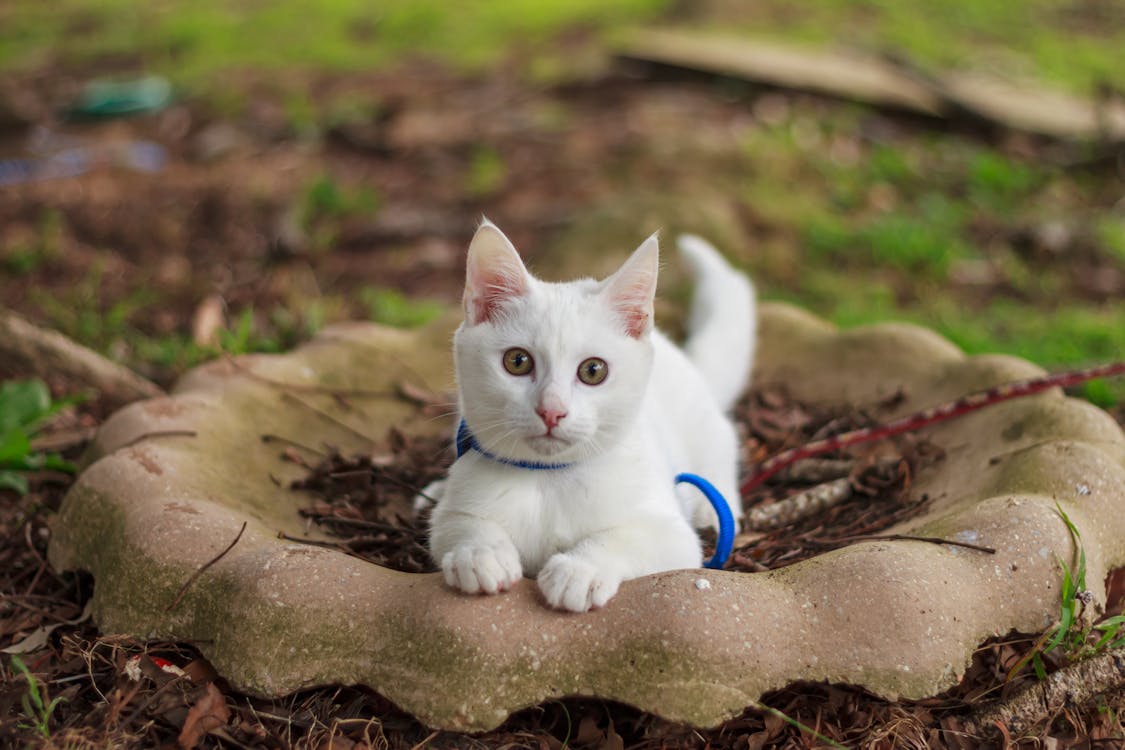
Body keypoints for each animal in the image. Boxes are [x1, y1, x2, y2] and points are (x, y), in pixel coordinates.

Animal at [423, 220, 756, 611]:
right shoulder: (454, 509)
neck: (549, 480)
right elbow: (459, 523)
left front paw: (580, 570)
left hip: (705, 429)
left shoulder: (673, 534)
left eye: (593, 370)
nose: (551, 410)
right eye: (517, 361)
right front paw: (480, 554)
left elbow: (629, 538)